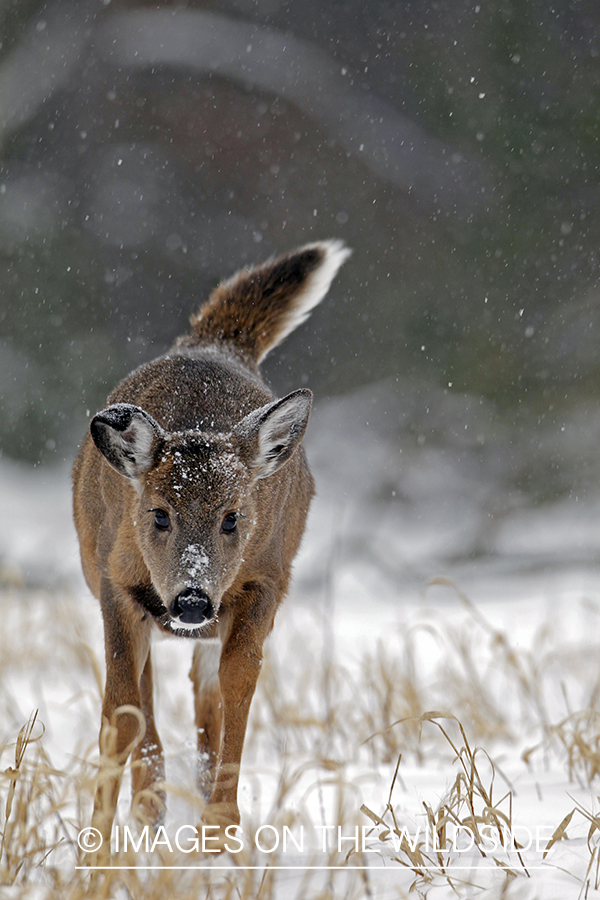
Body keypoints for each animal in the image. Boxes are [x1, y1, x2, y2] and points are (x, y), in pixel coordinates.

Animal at [72, 240, 350, 856]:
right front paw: (100, 840)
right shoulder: (114, 581)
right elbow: (121, 709)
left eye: (233, 518)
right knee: (148, 691)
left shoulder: (266, 579)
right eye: (158, 513)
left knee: (203, 689)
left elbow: (237, 683)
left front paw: (219, 826)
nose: (193, 599)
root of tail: (212, 340)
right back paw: (150, 804)